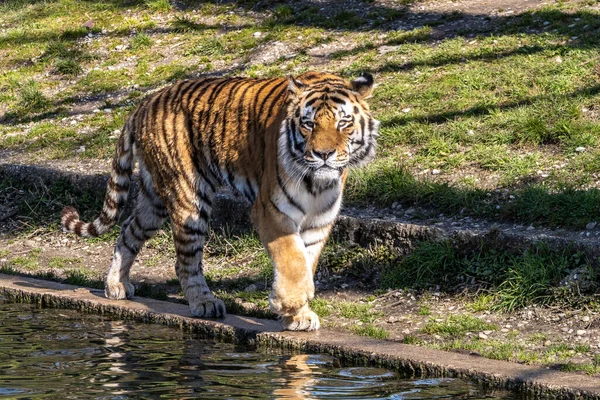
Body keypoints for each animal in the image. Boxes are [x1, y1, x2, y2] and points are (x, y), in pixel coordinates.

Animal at [61, 71, 380, 332]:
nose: (323, 154)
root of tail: (145, 102)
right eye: (308, 124)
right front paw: (288, 303)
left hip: (154, 201)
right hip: (188, 196)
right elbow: (291, 259)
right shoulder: (271, 209)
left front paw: (297, 315)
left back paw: (116, 284)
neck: (317, 182)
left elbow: (306, 261)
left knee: (128, 231)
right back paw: (204, 303)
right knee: (185, 262)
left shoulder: (319, 220)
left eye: (343, 123)